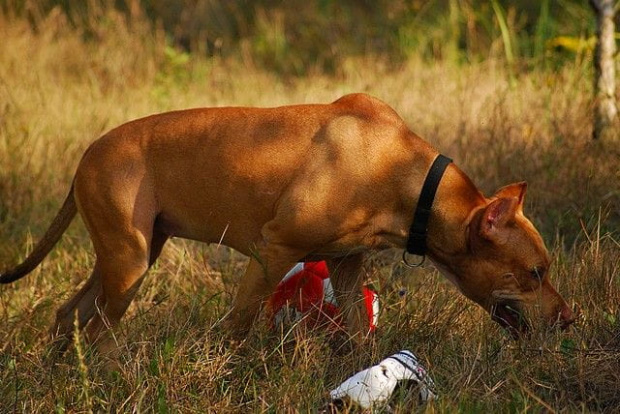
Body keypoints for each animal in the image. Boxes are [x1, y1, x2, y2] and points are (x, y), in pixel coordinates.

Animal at [0, 93, 572, 352]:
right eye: (535, 273)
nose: (570, 320)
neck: (409, 180)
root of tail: (86, 155)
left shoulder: (347, 268)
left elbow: (359, 333)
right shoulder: (272, 254)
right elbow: (237, 328)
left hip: (125, 258)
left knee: (69, 316)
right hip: (130, 264)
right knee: (96, 330)